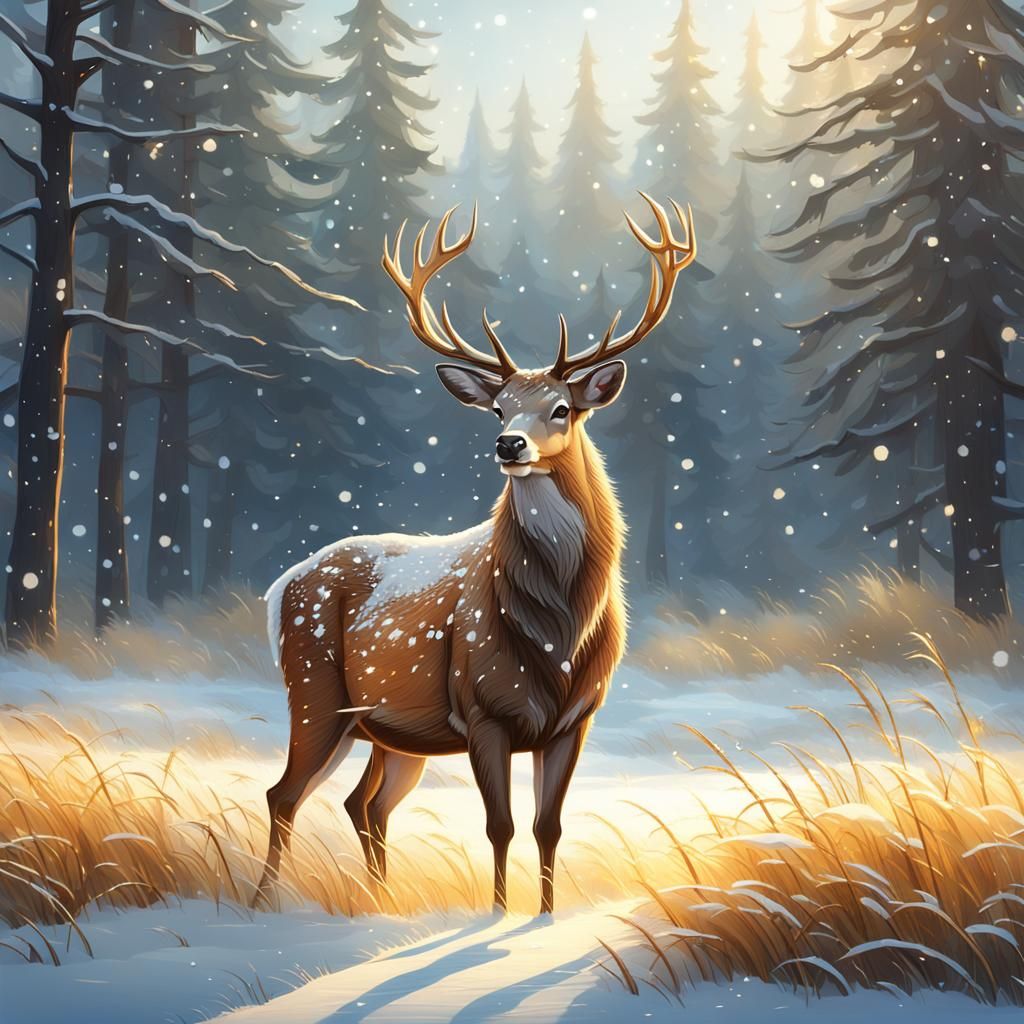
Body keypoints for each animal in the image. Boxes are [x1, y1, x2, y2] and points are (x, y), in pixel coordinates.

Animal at [255, 194, 697, 915]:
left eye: (562, 407)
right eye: (497, 408)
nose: (509, 444)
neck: (554, 628)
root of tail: (281, 586)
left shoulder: (575, 720)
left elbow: (549, 826)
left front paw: (544, 916)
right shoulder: (484, 708)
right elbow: (501, 826)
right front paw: (494, 915)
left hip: (393, 730)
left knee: (365, 804)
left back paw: (381, 901)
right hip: (314, 689)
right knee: (285, 793)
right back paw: (264, 902)